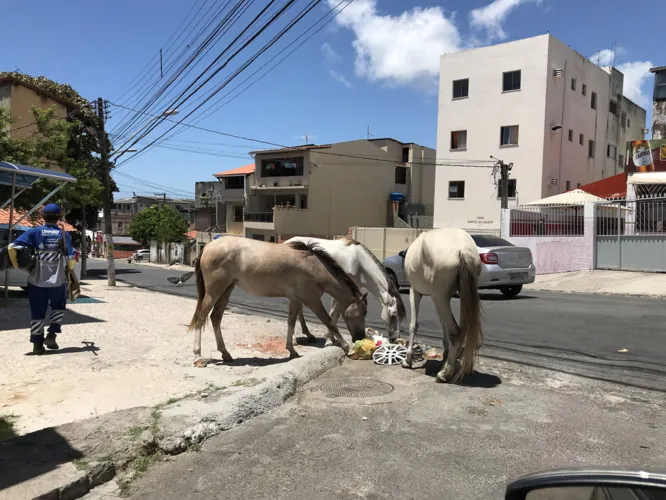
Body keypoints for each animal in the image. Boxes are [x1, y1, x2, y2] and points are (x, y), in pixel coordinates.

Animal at [187, 234, 368, 368]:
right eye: (364, 312)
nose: (359, 337)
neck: (314, 266)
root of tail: (208, 246)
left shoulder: (295, 299)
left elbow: (291, 322)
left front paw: (292, 350)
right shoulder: (312, 300)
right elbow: (329, 322)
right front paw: (347, 347)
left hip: (226, 290)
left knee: (215, 318)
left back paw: (225, 354)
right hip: (214, 291)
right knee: (201, 318)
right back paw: (198, 357)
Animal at [400, 228, 482, 382]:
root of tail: (462, 250)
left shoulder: (415, 291)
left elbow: (413, 325)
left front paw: (408, 360)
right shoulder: (442, 298)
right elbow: (442, 322)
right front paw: (446, 352)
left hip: (439, 297)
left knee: (455, 331)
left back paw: (445, 373)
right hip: (461, 293)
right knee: (465, 327)